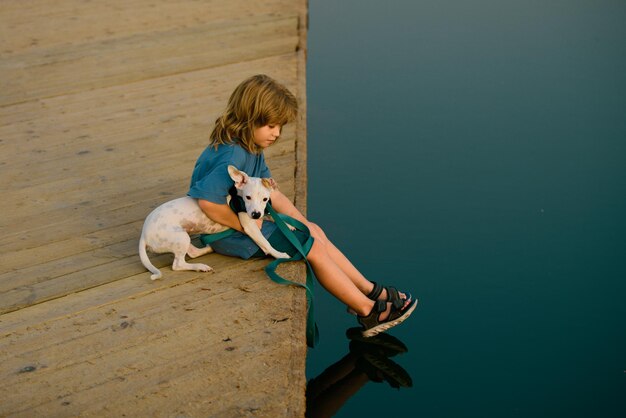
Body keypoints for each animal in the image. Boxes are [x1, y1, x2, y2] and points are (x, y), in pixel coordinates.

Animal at [138, 165, 288, 280]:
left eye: (265, 199)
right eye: (248, 197)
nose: (256, 214)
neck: (236, 197)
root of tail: (143, 235)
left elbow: (274, 217)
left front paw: (288, 224)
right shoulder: (249, 225)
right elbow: (266, 243)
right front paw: (280, 255)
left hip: (183, 237)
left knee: (192, 253)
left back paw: (208, 249)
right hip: (180, 238)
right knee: (178, 265)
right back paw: (200, 267)